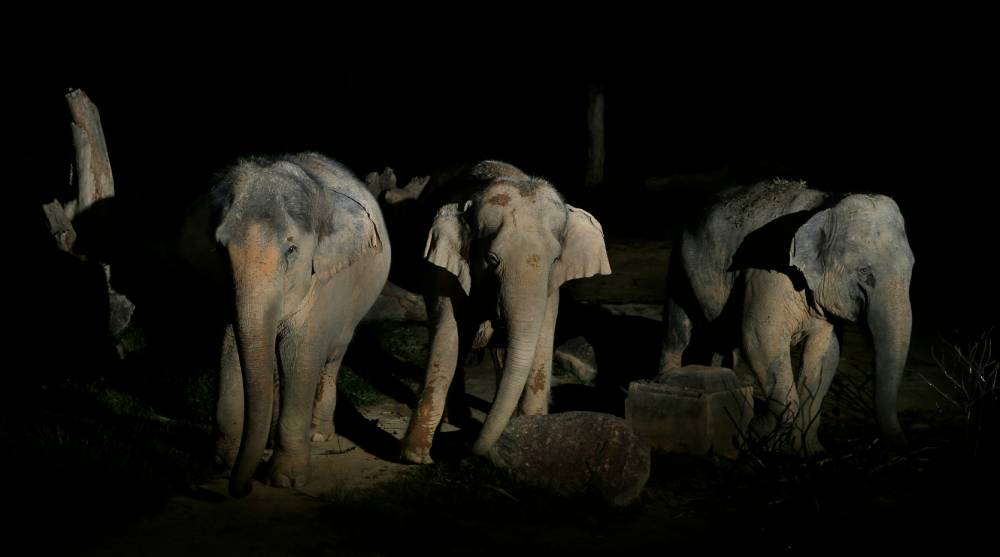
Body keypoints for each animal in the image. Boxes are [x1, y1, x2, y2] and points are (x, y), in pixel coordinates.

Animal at [204, 152, 390, 497]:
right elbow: (230, 346)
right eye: (221, 249)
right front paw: (222, 462)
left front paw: (286, 480)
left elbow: (299, 355)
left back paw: (318, 434)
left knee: (333, 356)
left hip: (353, 308)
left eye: (291, 250)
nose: (243, 489)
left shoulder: (324, 282)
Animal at [397, 160, 611, 463]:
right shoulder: (443, 268)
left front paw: (533, 442)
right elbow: (449, 336)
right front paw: (416, 457)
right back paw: (458, 419)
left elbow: (542, 338)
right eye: (492, 259)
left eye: (556, 260)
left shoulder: (551, 284)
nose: (466, 446)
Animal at [658, 178, 914, 453]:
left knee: (722, 340)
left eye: (911, 269)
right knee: (681, 332)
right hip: (680, 268)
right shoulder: (769, 274)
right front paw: (758, 434)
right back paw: (669, 382)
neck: (823, 207)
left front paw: (808, 451)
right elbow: (760, 338)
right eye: (865, 272)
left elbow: (826, 353)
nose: (902, 446)